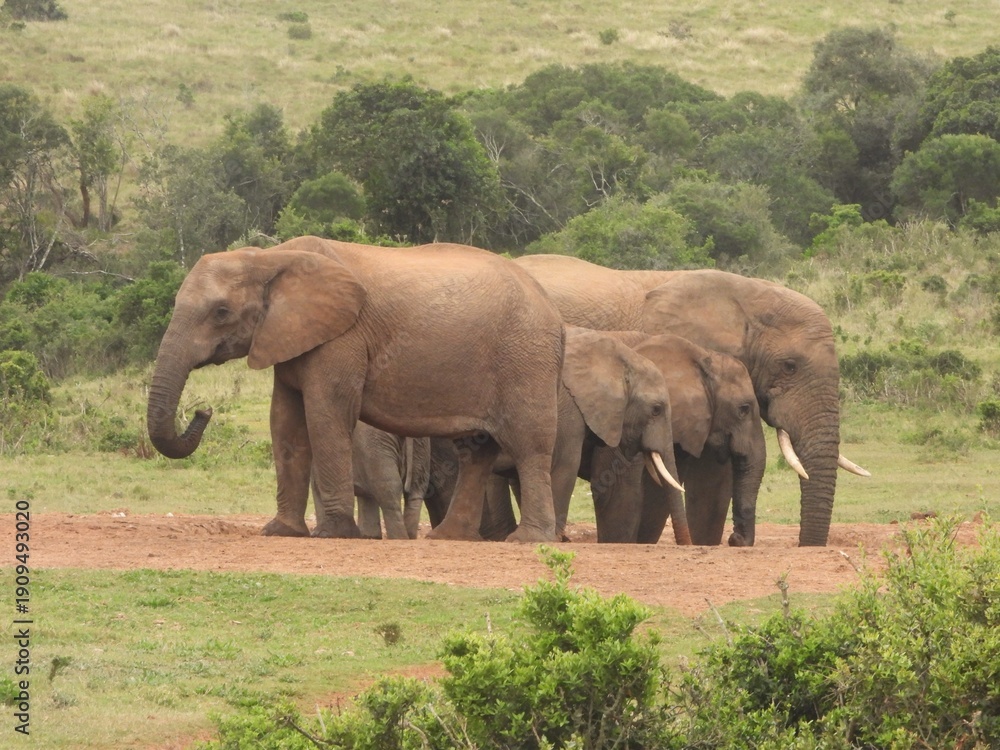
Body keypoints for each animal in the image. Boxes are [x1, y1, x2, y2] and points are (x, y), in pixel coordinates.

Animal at [146, 235, 565, 542]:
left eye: (220, 312)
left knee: (528, 445)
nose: (203, 410)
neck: (272, 258)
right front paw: (280, 532)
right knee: (476, 451)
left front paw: (333, 534)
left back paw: (528, 540)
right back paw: (449, 538)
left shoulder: (342, 338)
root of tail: (553, 310)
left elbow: (325, 415)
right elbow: (285, 424)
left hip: (526, 359)